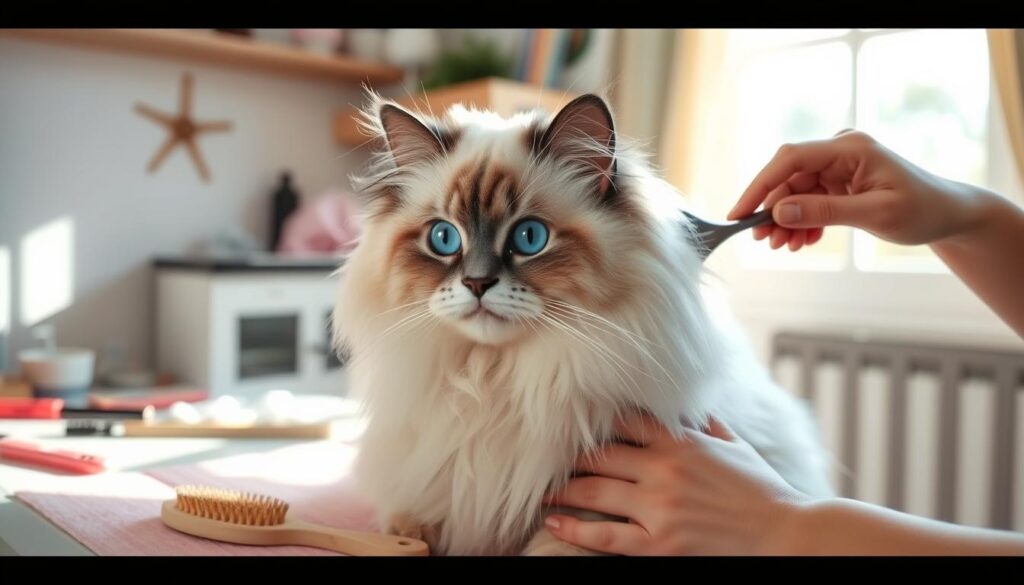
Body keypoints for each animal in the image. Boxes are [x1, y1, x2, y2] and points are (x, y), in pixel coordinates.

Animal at [331, 93, 835, 557]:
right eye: (443, 238)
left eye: (529, 237)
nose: (476, 283)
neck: (498, 385)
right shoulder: (430, 487)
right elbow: (410, 527)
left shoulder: (591, 511)